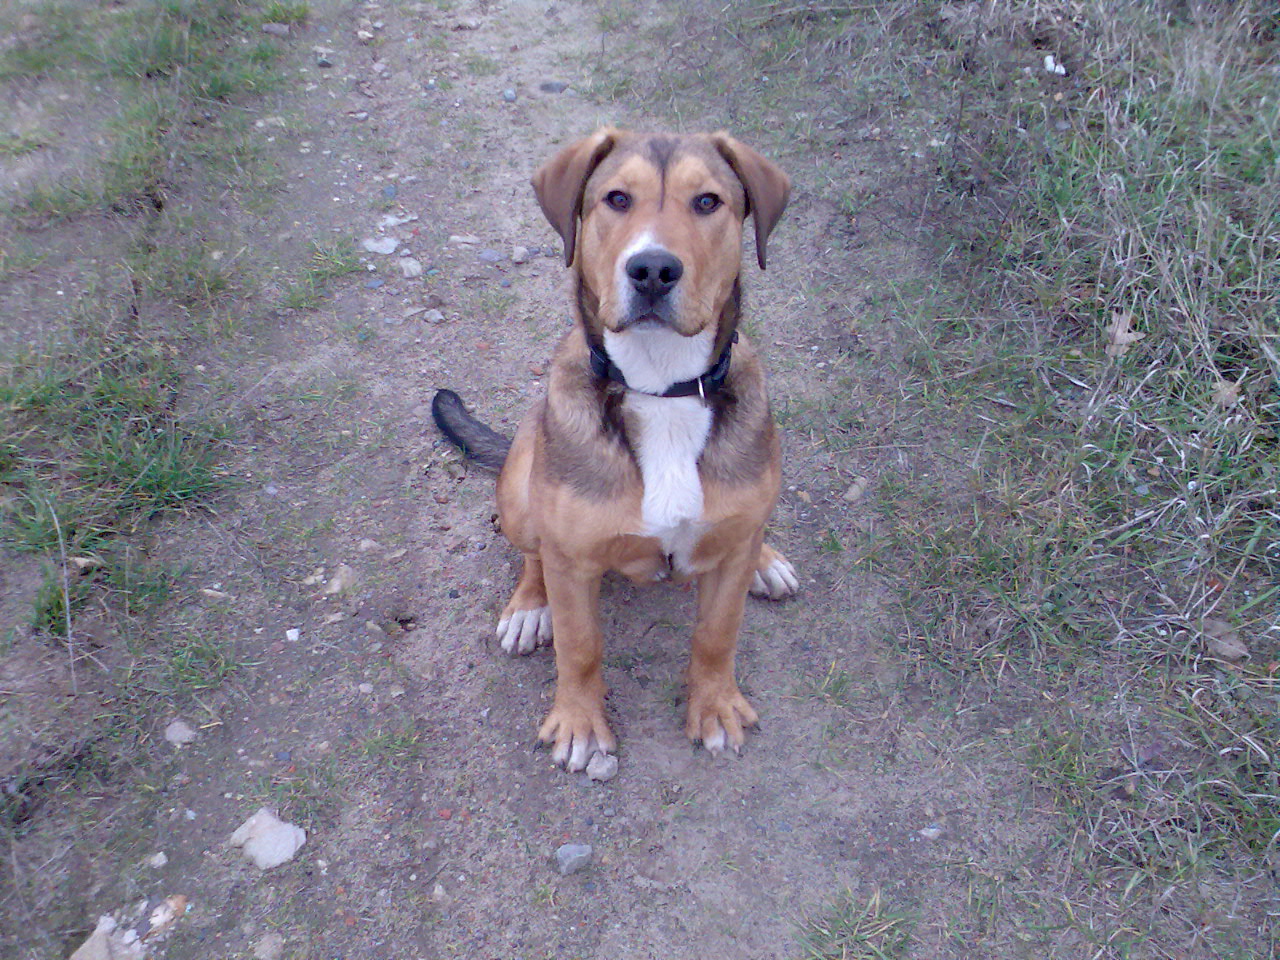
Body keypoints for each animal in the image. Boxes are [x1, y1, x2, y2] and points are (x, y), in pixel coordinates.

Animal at [435, 129, 793, 773]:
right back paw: (529, 607)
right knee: (533, 554)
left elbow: (717, 633)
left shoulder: (728, 559)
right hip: (522, 493)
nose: (653, 269)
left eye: (708, 202)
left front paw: (715, 705)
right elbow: (580, 645)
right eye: (617, 199)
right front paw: (579, 723)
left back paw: (766, 560)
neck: (661, 386)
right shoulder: (572, 562)